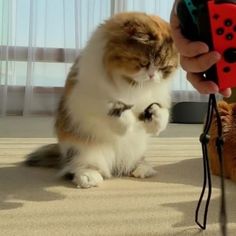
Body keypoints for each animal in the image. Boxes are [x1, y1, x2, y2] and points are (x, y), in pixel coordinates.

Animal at [24, 12, 178, 188]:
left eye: (164, 68)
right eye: (144, 63)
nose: (152, 76)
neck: (132, 85)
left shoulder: (155, 97)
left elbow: (161, 109)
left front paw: (156, 124)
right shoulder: (83, 97)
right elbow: (113, 106)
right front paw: (126, 125)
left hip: (137, 147)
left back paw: (142, 169)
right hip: (83, 150)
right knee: (78, 167)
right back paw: (88, 177)